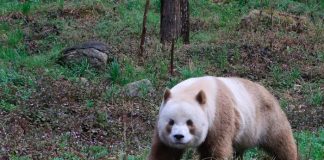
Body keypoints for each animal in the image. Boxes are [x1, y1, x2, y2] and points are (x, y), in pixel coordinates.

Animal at [148, 76, 298, 160]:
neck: (191, 91)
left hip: (266, 119)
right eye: (171, 122)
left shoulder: (218, 115)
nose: (179, 136)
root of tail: (267, 91)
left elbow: (216, 150)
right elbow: (165, 152)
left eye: (190, 123)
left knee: (281, 143)